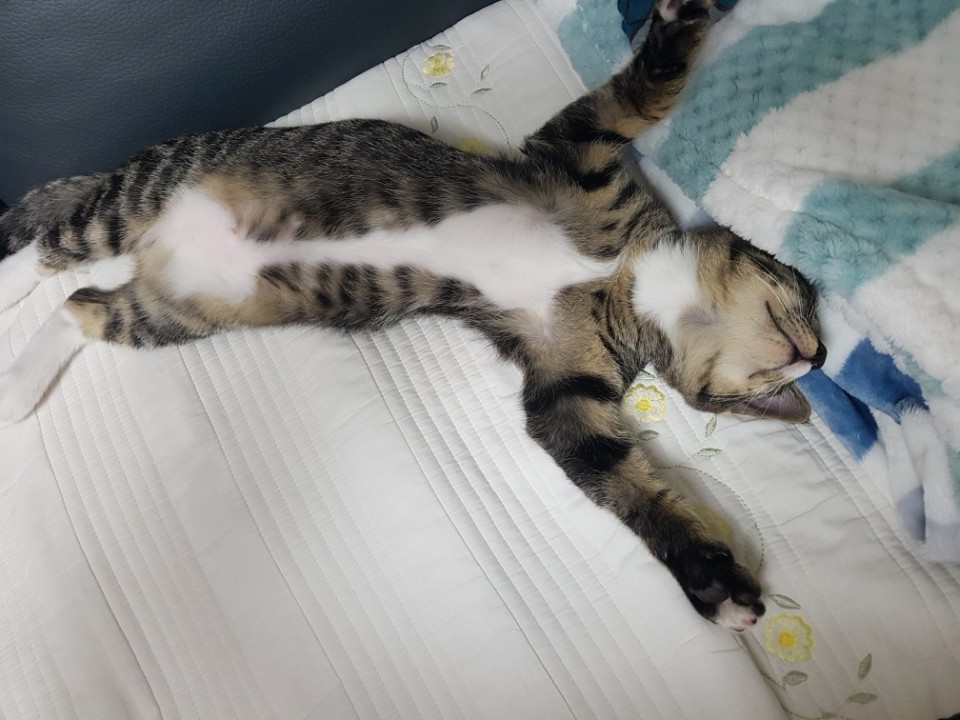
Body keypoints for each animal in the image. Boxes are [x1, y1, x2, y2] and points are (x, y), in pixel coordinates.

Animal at [0, 0, 825, 631]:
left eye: (758, 397)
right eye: (804, 295)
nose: (816, 356)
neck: (626, 279)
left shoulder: (565, 381)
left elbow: (611, 471)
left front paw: (709, 580)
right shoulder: (577, 153)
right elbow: (642, 92)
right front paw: (681, 21)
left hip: (175, 311)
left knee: (82, 304)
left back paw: (18, 390)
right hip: (144, 192)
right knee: (54, 242)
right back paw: (9, 282)